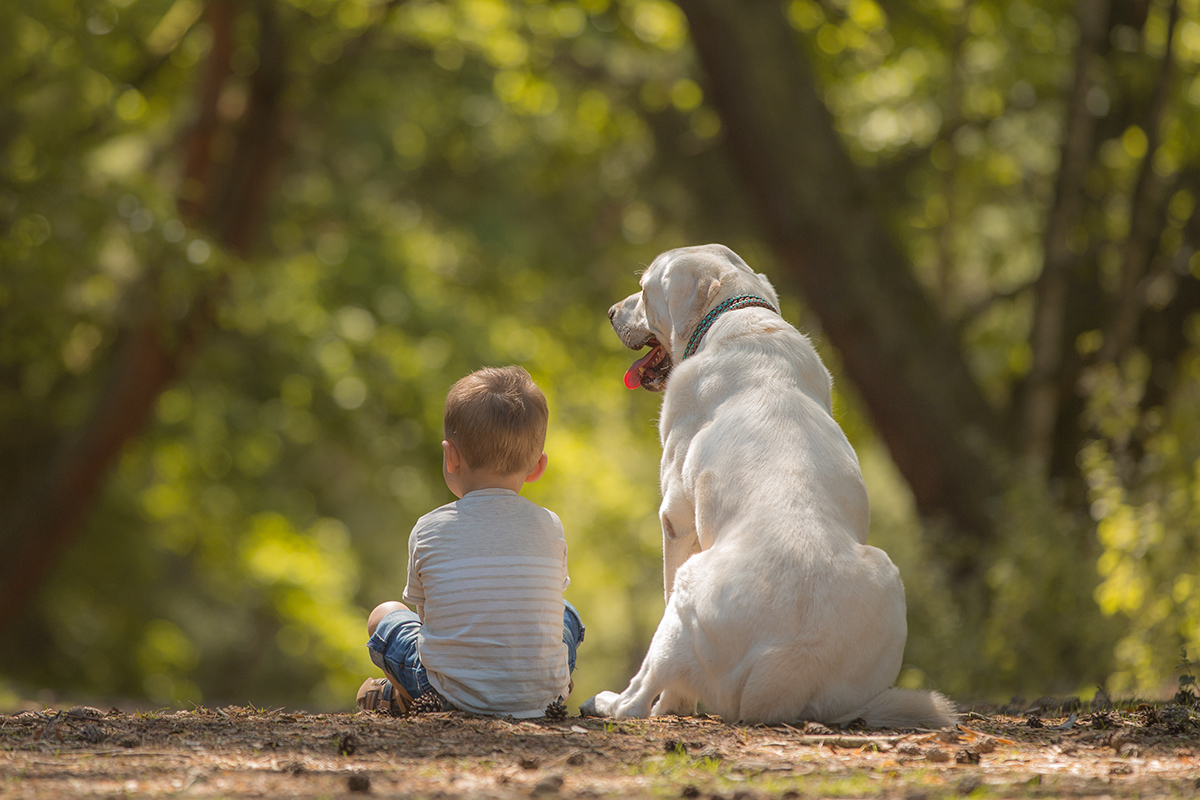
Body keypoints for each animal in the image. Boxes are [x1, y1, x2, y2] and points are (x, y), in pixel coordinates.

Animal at [580, 245, 955, 734]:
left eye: (643, 290)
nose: (609, 312)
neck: (734, 315)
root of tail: (786, 661)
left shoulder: (675, 520)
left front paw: (673, 706)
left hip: (687, 583)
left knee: (639, 695)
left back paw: (610, 702)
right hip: (887, 582)